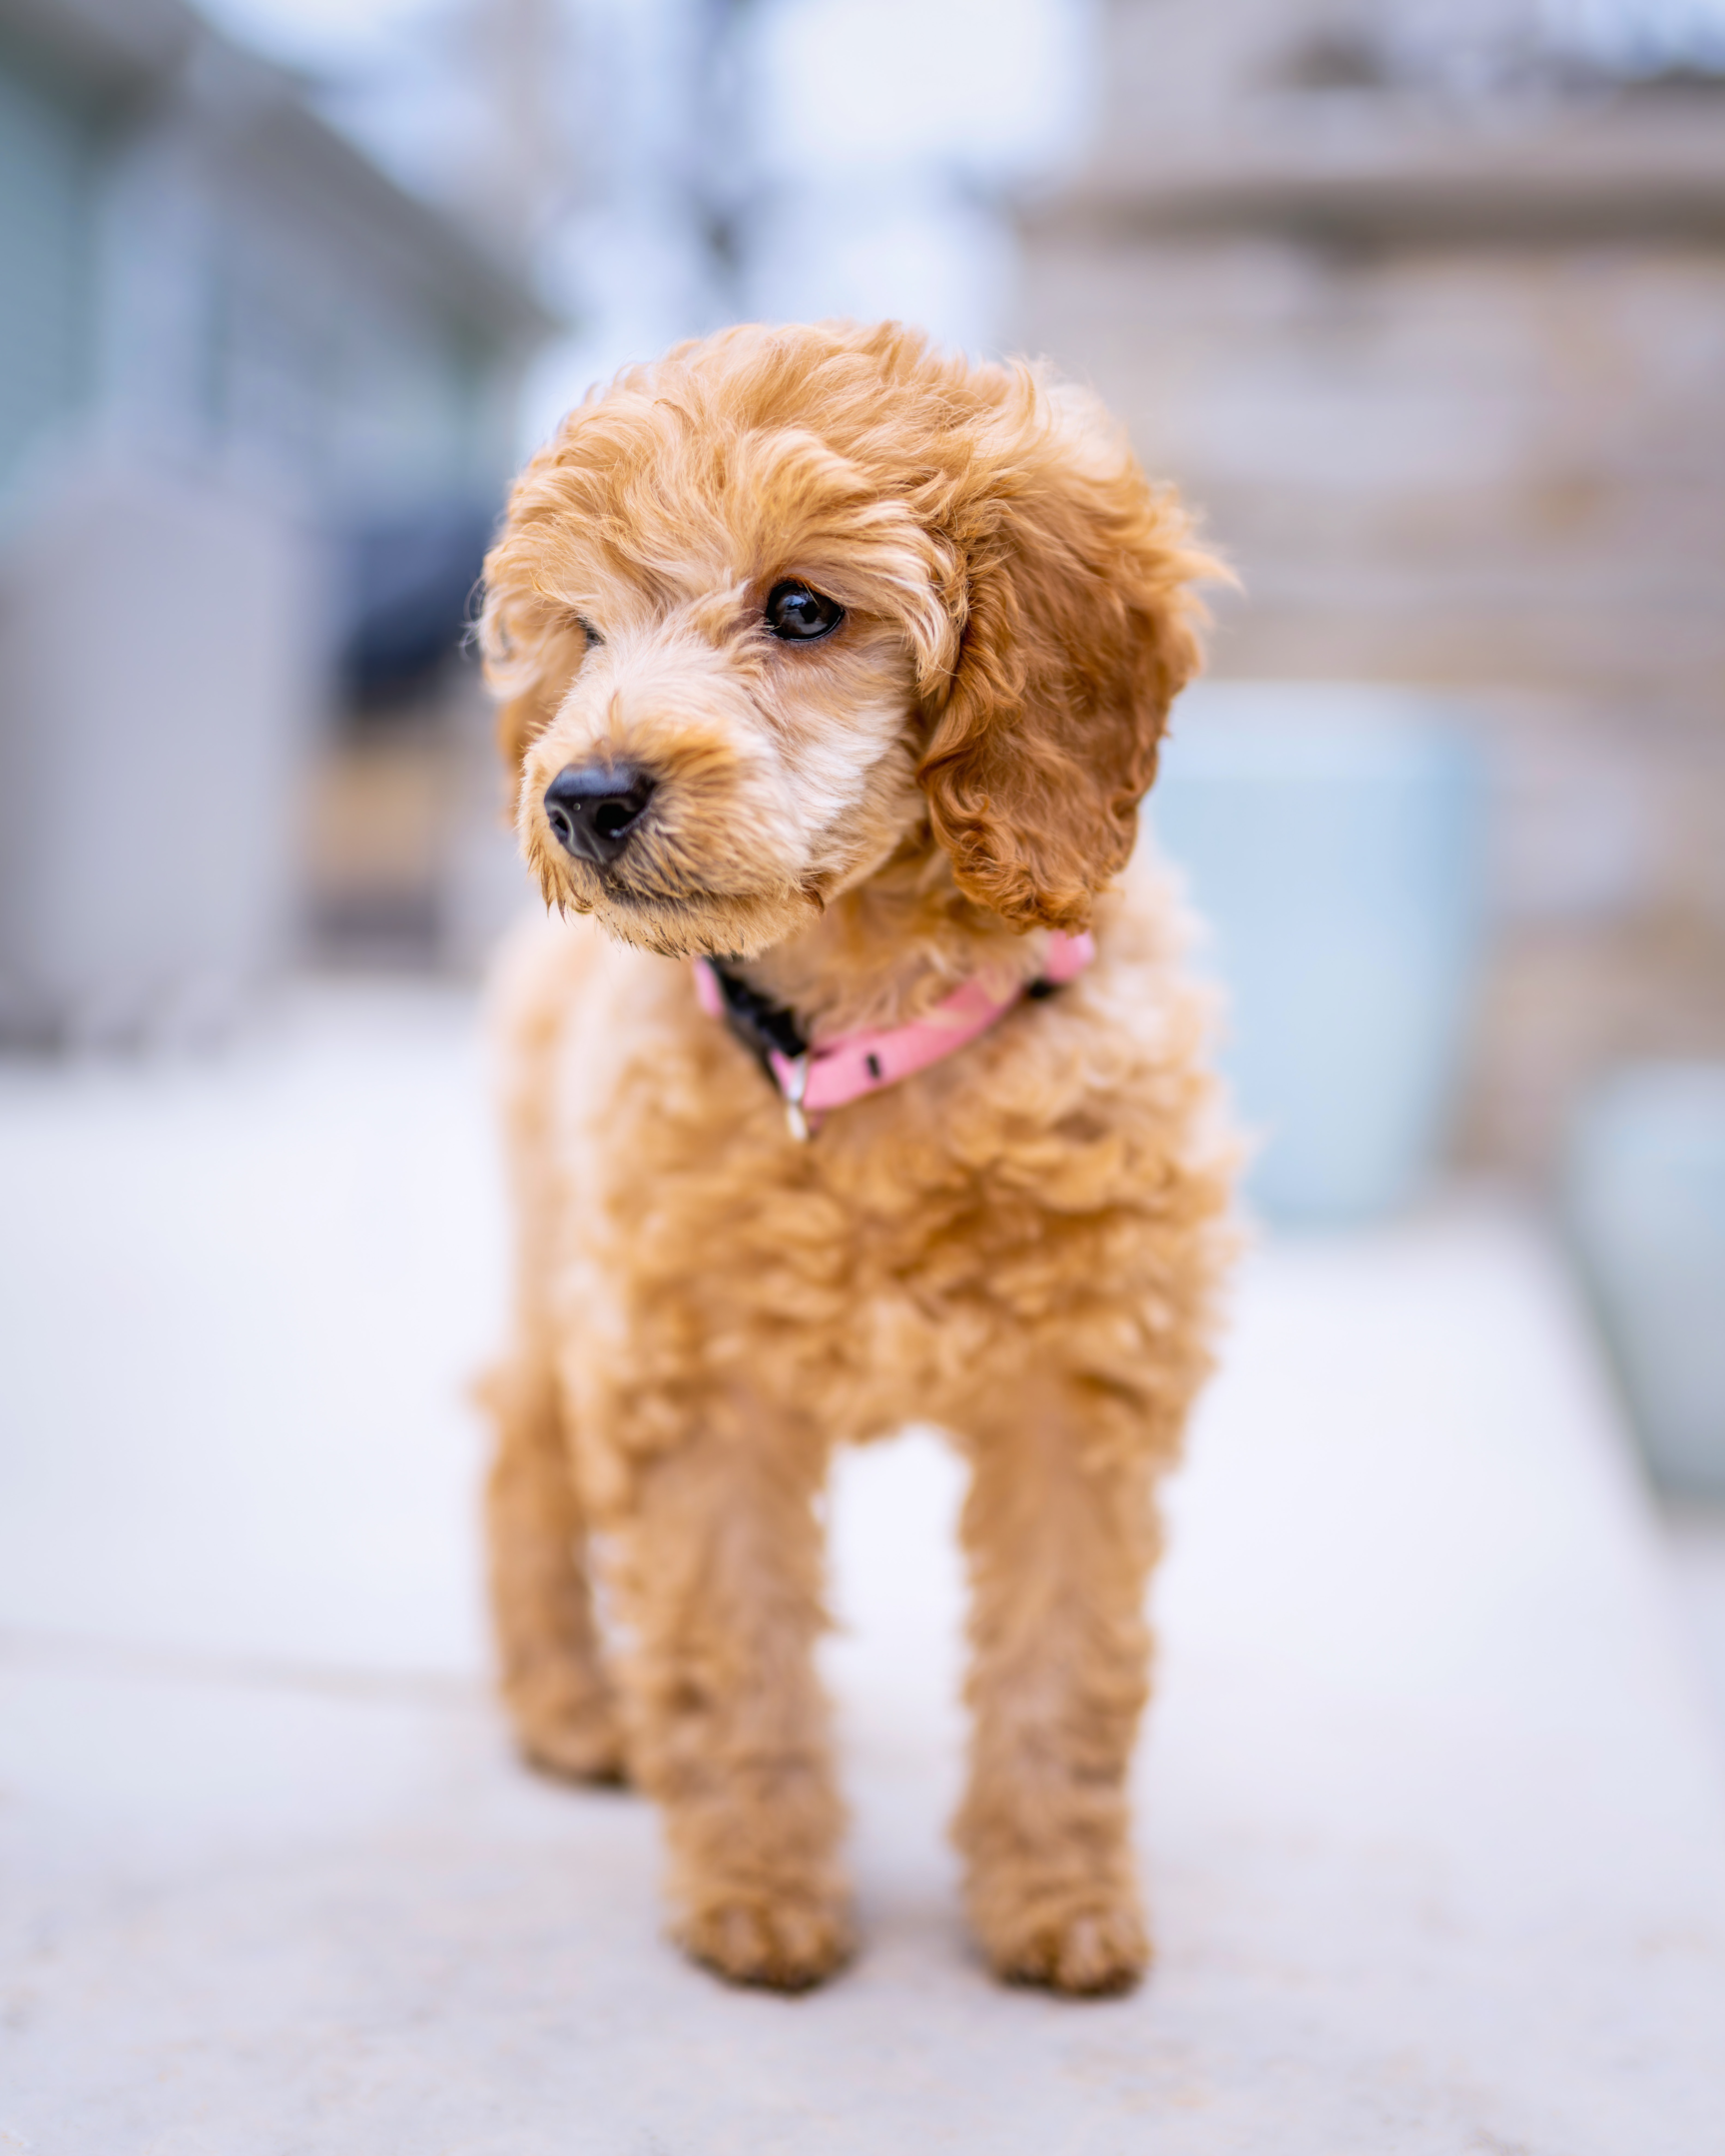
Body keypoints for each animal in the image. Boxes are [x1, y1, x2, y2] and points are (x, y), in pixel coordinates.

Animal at [478, 314, 1233, 1983]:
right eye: (586, 631)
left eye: (805, 609)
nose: (581, 795)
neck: (866, 1028)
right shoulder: (695, 1378)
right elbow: (731, 1648)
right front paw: (759, 1893)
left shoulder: (1083, 1390)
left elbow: (1068, 1659)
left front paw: (1060, 1900)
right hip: (569, 1257)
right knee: (522, 1439)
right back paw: (570, 1708)